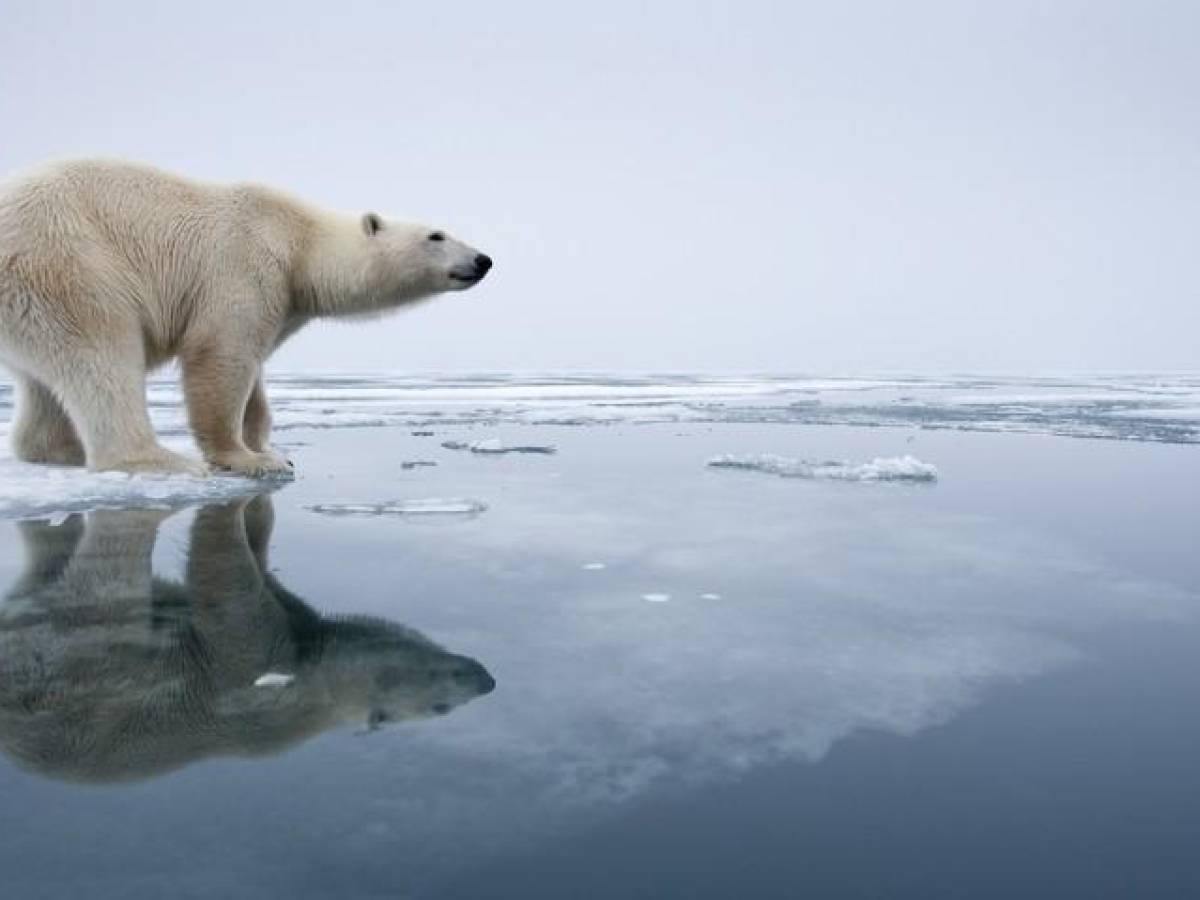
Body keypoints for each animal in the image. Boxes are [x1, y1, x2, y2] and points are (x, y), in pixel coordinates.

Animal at [0, 159, 492, 480]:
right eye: (436, 235)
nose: (483, 260)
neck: (299, 240)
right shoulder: (244, 263)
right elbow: (220, 355)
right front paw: (246, 459)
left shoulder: (283, 301)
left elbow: (254, 371)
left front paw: (270, 449)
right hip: (66, 264)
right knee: (103, 353)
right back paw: (162, 460)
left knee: (46, 380)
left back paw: (59, 451)